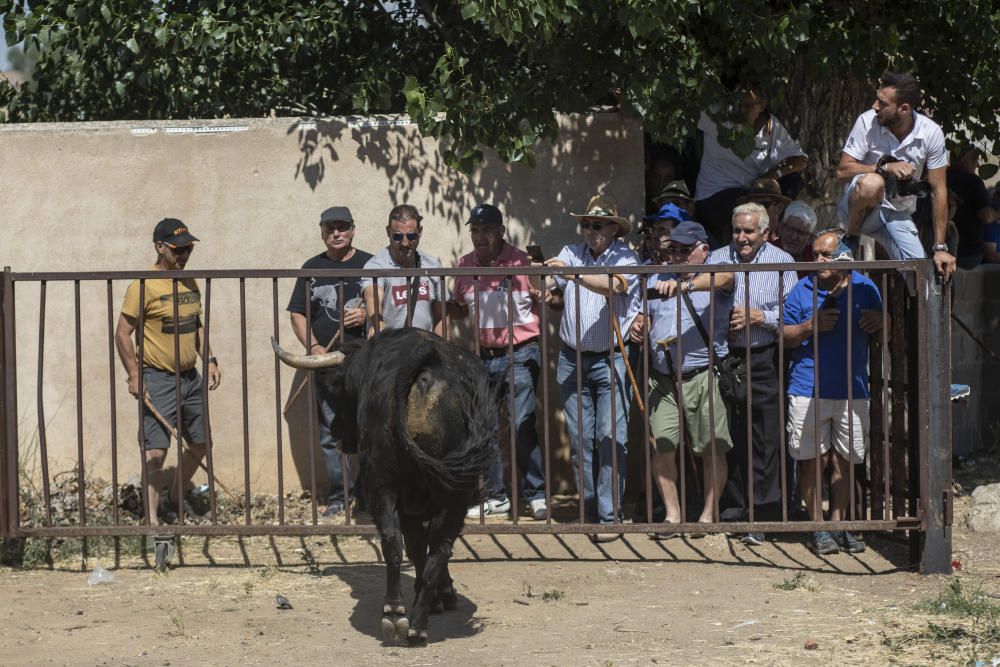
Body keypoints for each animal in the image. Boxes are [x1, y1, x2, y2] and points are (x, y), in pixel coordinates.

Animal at [272, 328, 498, 640]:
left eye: (343, 391)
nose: (336, 431)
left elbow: (414, 545)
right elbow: (424, 546)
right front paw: (443, 594)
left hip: (384, 485)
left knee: (395, 541)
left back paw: (395, 613)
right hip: (455, 493)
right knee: (438, 548)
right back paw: (417, 622)